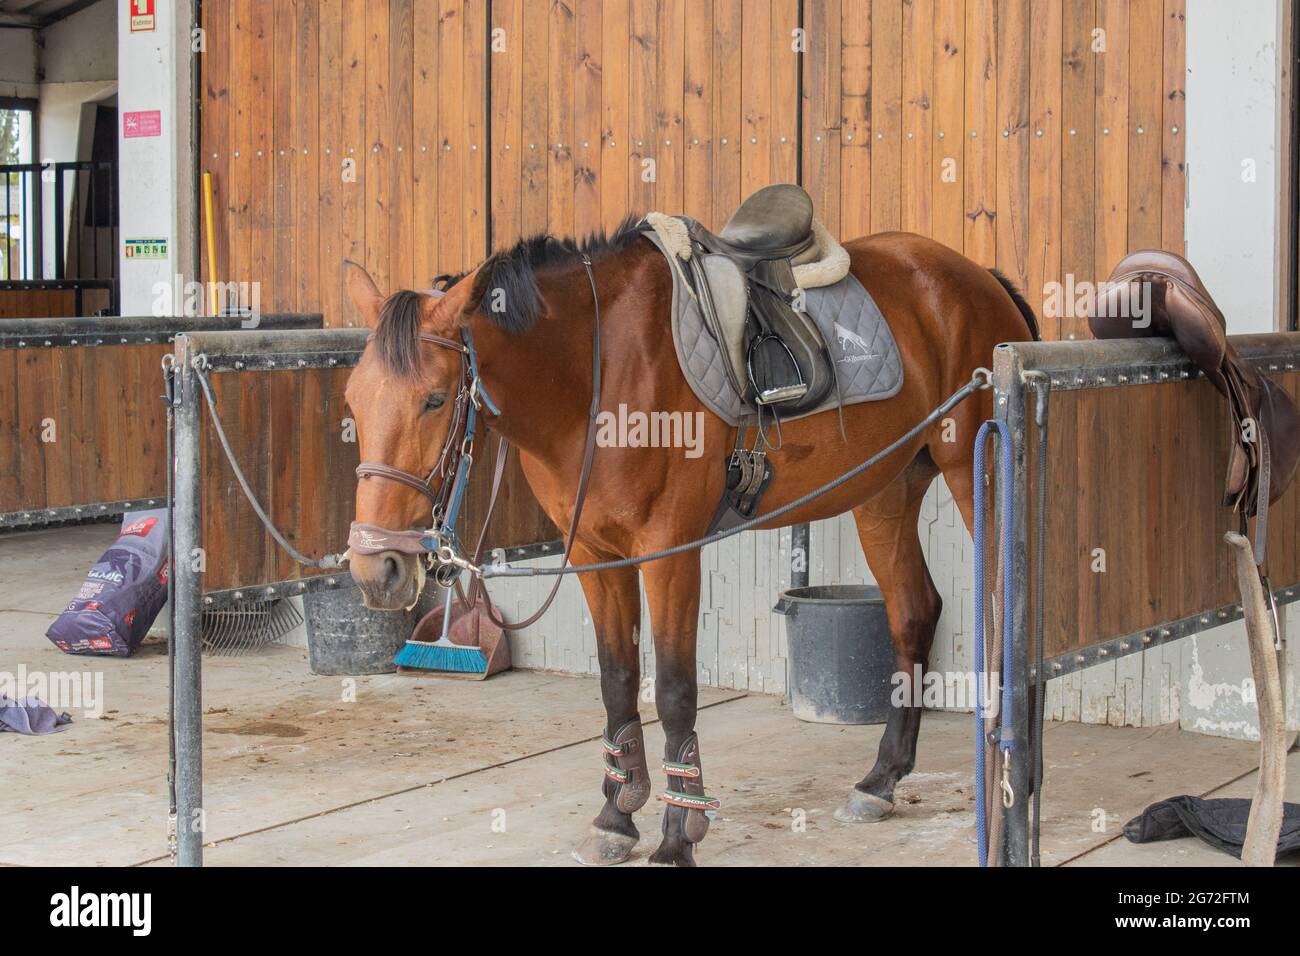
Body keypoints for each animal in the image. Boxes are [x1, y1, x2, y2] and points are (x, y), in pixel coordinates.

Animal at [341, 217, 1039, 866]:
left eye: (435, 400)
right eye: (352, 399)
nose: (379, 569)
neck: (596, 368)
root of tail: (976, 278)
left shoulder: (669, 551)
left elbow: (675, 691)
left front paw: (679, 834)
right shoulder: (597, 555)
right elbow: (618, 680)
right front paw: (616, 816)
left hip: (974, 472)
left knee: (1004, 615)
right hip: (885, 491)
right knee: (914, 612)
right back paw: (881, 780)